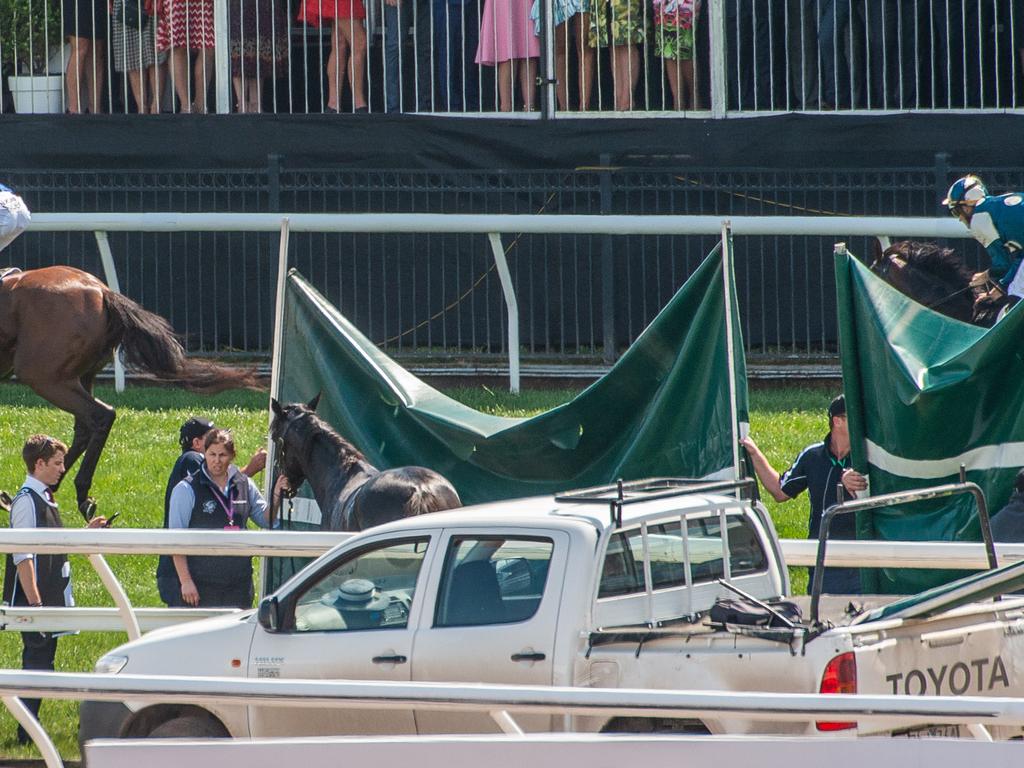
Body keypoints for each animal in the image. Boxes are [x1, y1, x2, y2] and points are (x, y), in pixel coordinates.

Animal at [0, 264, 260, 518]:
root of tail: (102, 291)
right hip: (79, 375)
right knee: (85, 425)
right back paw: (54, 486)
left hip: (45, 376)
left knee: (100, 415)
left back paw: (75, 491)